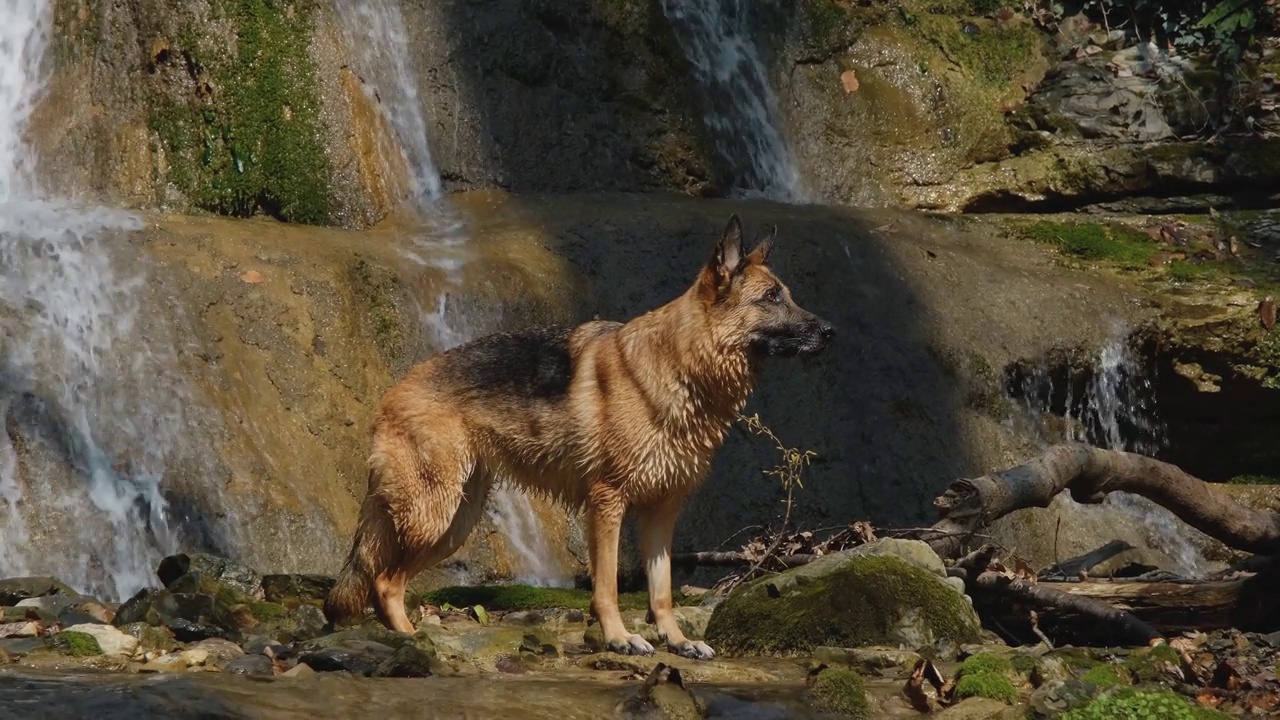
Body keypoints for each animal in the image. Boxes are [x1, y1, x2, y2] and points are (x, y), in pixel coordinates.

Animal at [325, 212, 834, 655]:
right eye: (771, 298)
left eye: (787, 295)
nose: (830, 331)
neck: (680, 365)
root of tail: (393, 391)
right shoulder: (607, 503)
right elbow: (607, 584)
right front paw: (619, 637)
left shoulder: (662, 512)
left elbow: (662, 590)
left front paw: (677, 641)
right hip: (434, 514)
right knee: (384, 581)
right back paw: (412, 641)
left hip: (454, 524)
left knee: (386, 579)